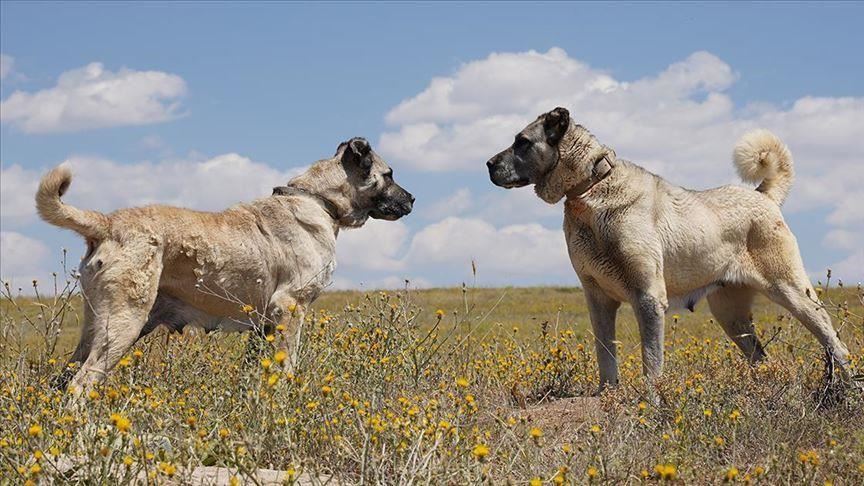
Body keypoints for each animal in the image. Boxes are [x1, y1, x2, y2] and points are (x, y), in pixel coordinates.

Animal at [40, 137, 416, 394]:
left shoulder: (265, 323)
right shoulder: (290, 307)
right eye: (389, 174)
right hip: (123, 324)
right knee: (81, 384)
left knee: (63, 380)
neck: (319, 200)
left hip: (98, 327)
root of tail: (108, 223)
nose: (413, 198)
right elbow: (288, 364)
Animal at [486, 107, 856, 394]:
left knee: (835, 344)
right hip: (730, 314)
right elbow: (605, 354)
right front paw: (607, 396)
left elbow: (651, 360)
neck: (590, 190)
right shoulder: (598, 300)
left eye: (522, 142)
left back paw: (848, 388)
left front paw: (651, 401)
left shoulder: (647, 298)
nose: (488, 163)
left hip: (792, 292)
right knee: (761, 357)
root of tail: (762, 196)